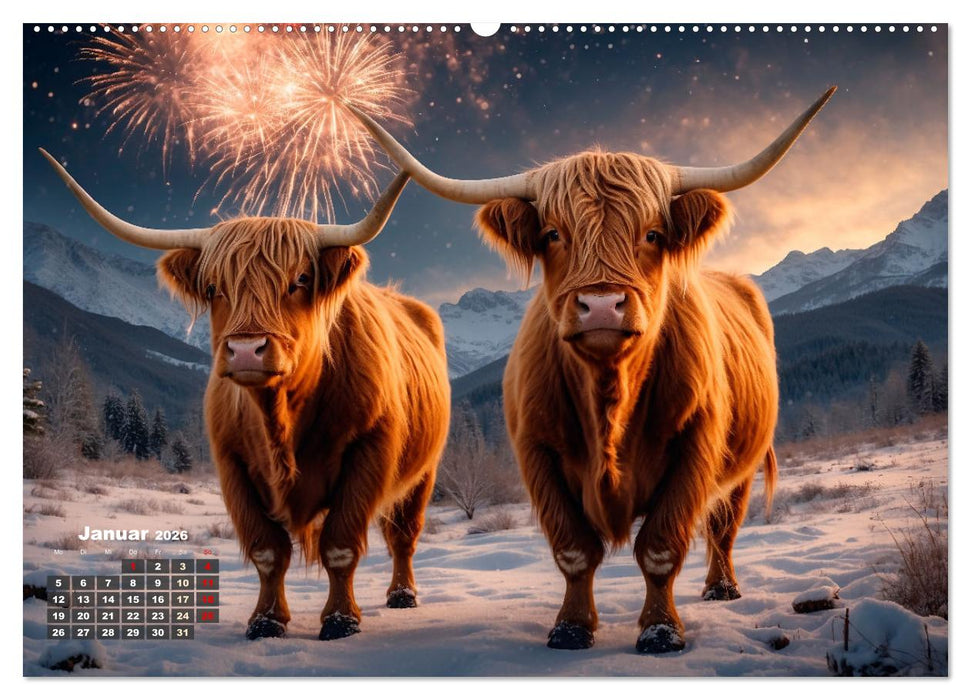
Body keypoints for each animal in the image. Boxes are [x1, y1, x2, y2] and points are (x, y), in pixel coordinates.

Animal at [41, 150, 451, 642]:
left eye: (300, 279)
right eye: (213, 287)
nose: (245, 349)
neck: (281, 418)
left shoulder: (369, 449)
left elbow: (340, 544)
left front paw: (340, 620)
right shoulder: (231, 465)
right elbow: (267, 551)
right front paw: (267, 620)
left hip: (424, 469)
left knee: (404, 533)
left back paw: (402, 594)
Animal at [350, 87, 835, 653]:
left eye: (653, 233)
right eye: (553, 234)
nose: (602, 305)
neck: (609, 396)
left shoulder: (696, 445)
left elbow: (661, 546)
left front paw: (661, 631)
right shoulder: (537, 452)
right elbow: (574, 549)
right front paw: (571, 627)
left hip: (743, 465)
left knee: (724, 527)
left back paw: (722, 588)